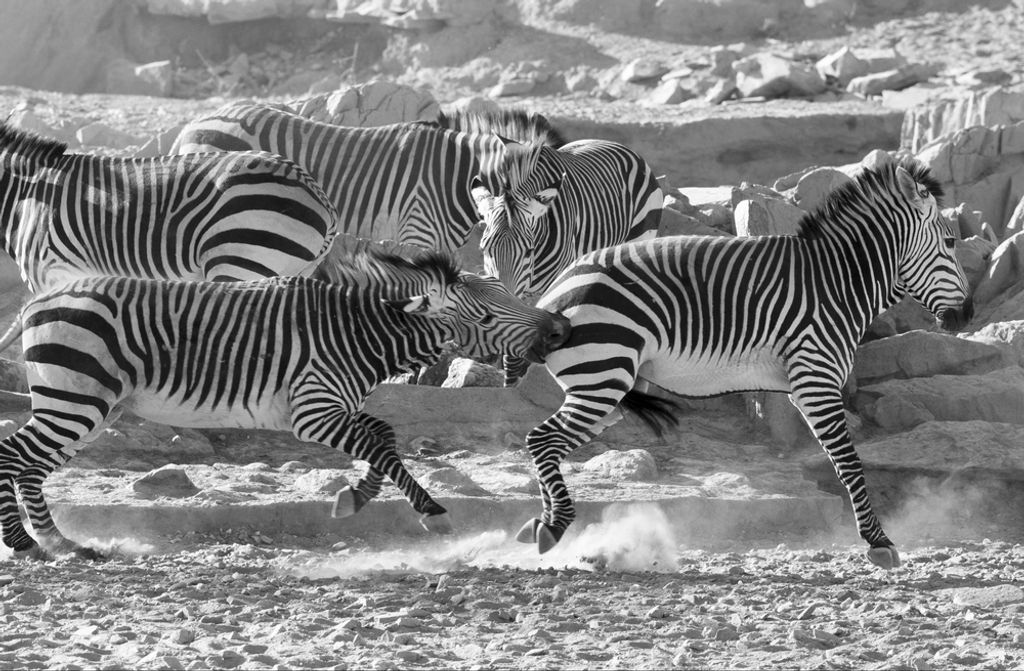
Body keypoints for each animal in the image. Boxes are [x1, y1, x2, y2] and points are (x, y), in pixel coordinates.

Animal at [0, 250, 571, 560]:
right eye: (486, 318)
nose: (560, 329)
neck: (357, 334)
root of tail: (40, 299)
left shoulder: (331, 406)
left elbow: (383, 437)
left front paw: (354, 498)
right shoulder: (312, 414)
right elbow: (381, 445)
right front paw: (433, 515)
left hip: (91, 406)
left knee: (31, 467)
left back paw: (62, 543)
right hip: (77, 400)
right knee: (14, 457)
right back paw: (26, 545)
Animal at [516, 157, 972, 570]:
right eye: (950, 244)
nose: (966, 316)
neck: (838, 282)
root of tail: (553, 294)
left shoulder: (807, 383)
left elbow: (844, 461)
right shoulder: (815, 378)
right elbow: (848, 463)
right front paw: (879, 542)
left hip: (603, 385)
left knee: (546, 443)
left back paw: (546, 525)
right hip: (602, 377)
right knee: (542, 439)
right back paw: (553, 526)